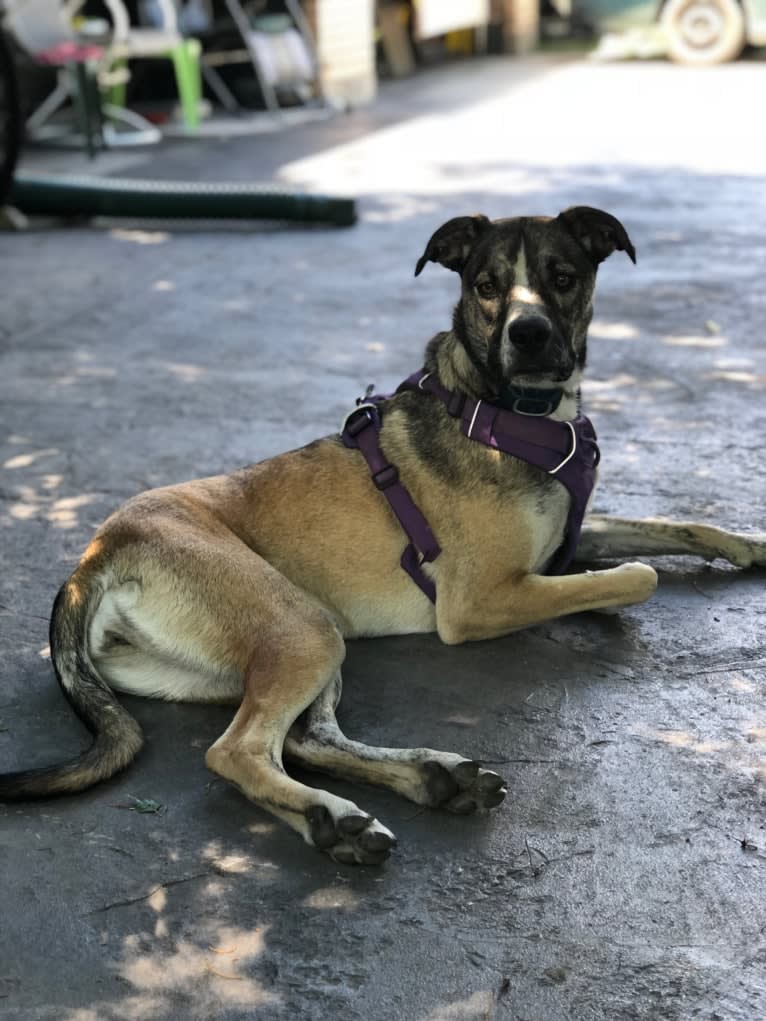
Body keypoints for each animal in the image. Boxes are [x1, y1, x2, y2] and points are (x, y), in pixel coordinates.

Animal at [0, 207, 763, 861]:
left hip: (290, 642)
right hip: (301, 625)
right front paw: (601, 596)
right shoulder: (481, 600)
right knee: (237, 750)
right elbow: (638, 576)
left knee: (307, 738)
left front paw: (749, 543)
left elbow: (675, 525)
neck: (505, 411)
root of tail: (95, 557)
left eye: (563, 275)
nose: (529, 335)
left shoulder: (568, 536)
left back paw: (431, 779)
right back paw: (331, 817)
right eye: (486, 285)